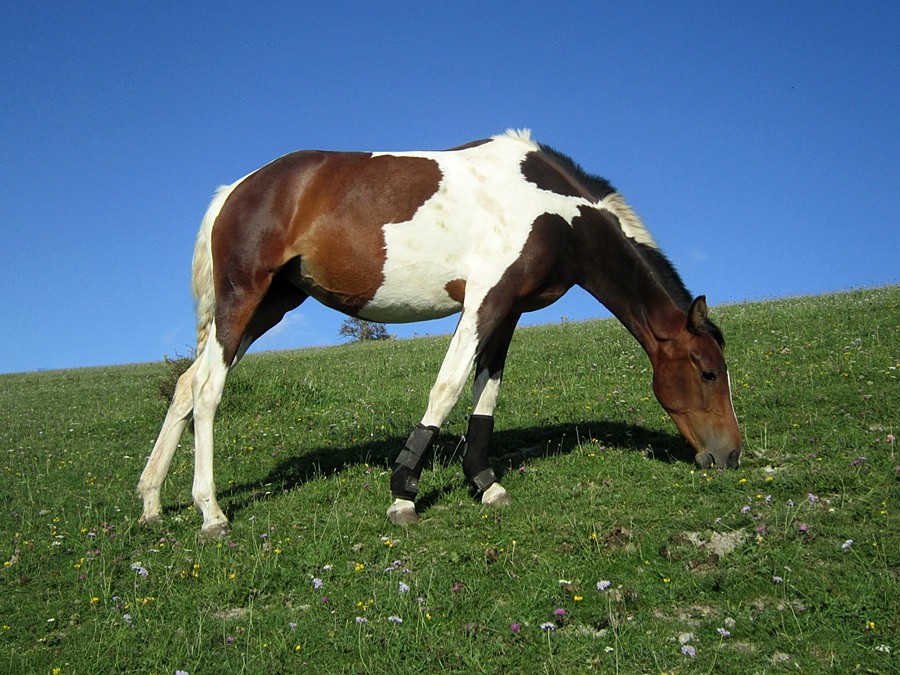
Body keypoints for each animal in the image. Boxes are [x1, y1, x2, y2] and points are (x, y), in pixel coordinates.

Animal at [137, 129, 742, 536]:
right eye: (709, 373)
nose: (730, 456)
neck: (553, 212)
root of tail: (236, 189)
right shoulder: (484, 300)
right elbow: (447, 388)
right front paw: (404, 493)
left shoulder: (508, 310)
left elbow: (485, 394)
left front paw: (485, 483)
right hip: (244, 300)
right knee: (208, 391)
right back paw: (211, 512)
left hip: (270, 306)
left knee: (186, 387)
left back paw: (150, 502)